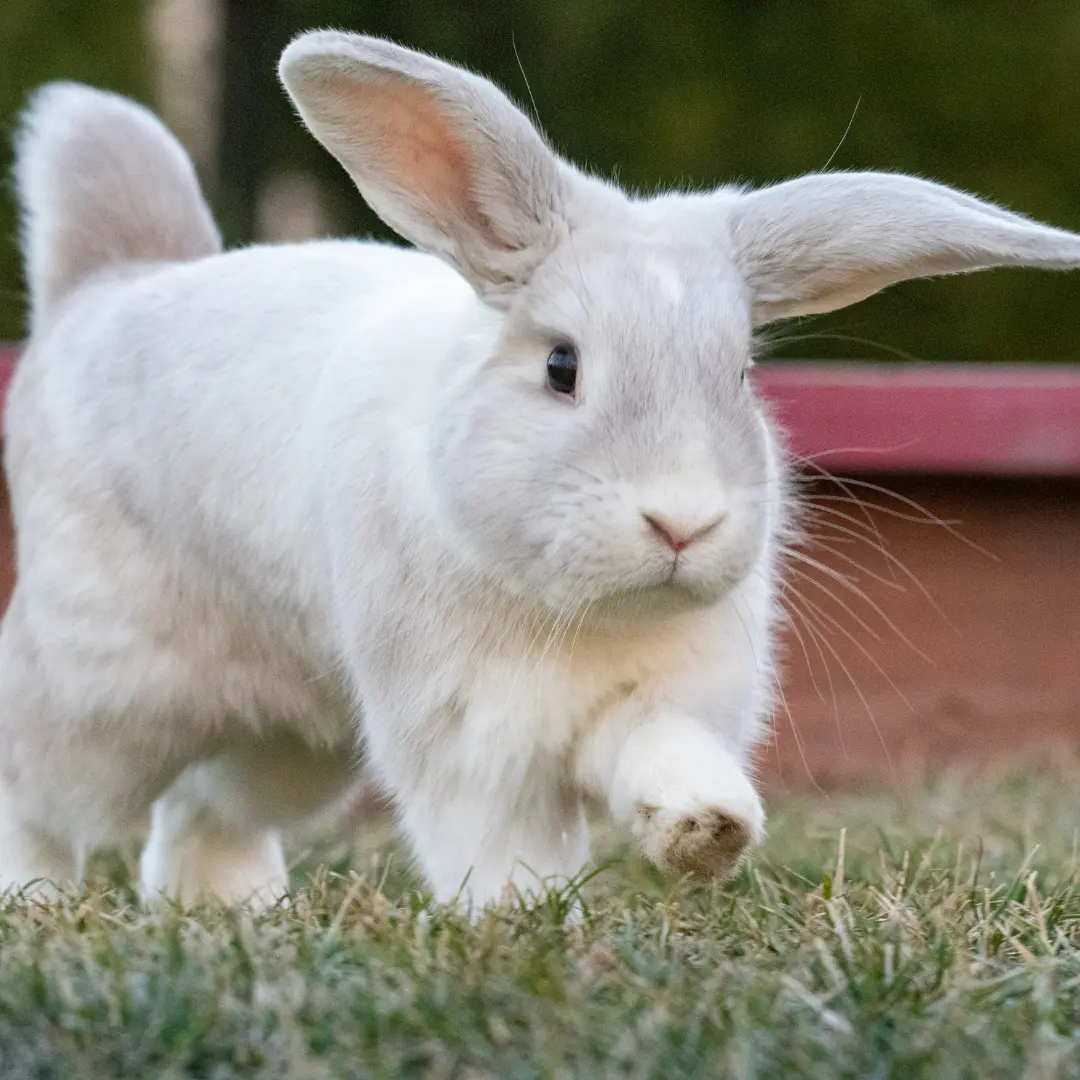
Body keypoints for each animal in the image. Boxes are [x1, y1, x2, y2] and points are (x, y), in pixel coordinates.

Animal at [2, 29, 1080, 907]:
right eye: (563, 367)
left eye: (738, 372)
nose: (681, 523)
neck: (580, 610)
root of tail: (103, 290)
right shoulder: (469, 741)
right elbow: (497, 845)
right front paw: (523, 925)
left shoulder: (661, 699)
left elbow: (662, 755)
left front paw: (707, 831)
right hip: (106, 689)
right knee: (40, 789)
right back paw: (36, 903)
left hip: (298, 732)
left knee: (207, 804)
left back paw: (232, 910)